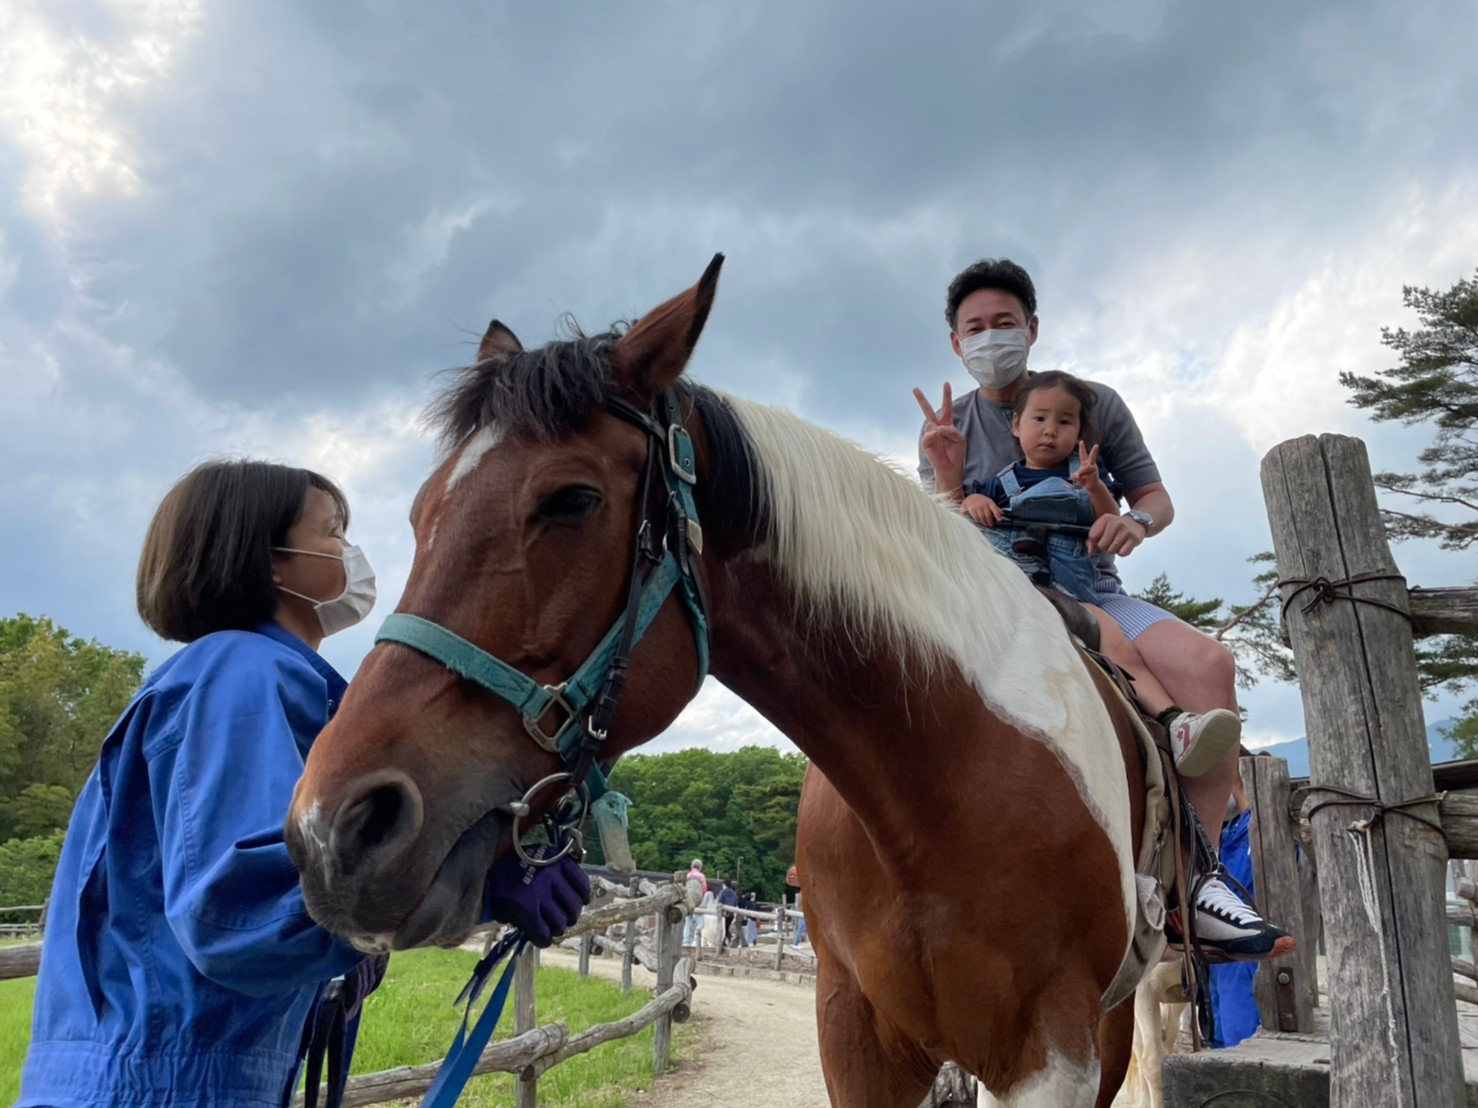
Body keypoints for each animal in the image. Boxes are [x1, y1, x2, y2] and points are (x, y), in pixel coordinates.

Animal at [282, 255, 1146, 1105]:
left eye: (572, 499)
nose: (332, 831)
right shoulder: (854, 1036)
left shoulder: (1053, 1053)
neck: (935, 782)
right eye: (420, 513)